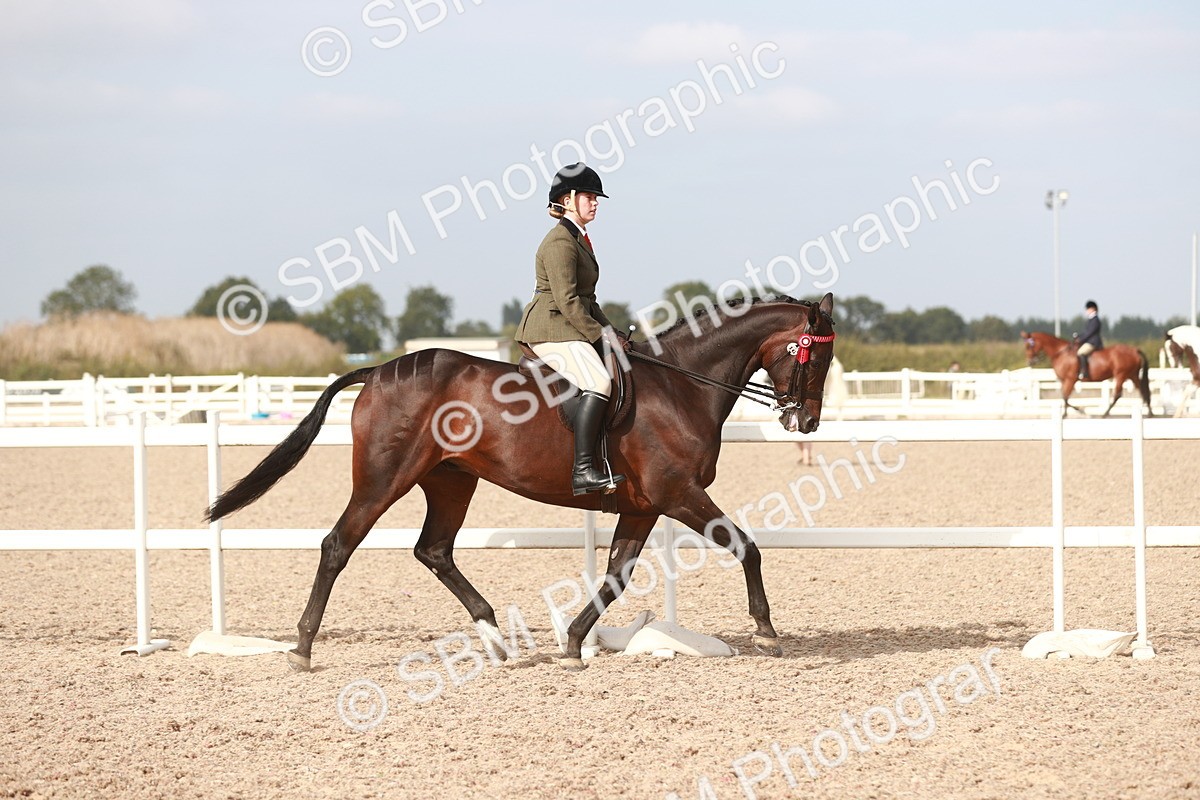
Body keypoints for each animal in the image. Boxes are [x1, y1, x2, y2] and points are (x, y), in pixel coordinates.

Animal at [206, 293, 837, 671]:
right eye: (813, 359)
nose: (805, 422)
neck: (683, 385)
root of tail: (381, 369)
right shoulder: (677, 494)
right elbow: (746, 546)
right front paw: (766, 631)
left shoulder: (642, 506)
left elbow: (615, 577)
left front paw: (573, 643)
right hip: (384, 479)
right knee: (339, 545)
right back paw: (302, 649)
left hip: (451, 481)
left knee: (434, 550)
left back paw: (494, 638)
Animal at [1020, 330, 1152, 417]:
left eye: (1028, 346)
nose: (1030, 362)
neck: (1061, 353)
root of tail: (1134, 350)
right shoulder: (1064, 381)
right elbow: (1064, 396)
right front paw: (1065, 414)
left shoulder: (1070, 379)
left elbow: (1065, 396)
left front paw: (1080, 411)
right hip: (1132, 375)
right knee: (1143, 391)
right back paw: (1150, 413)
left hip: (1121, 375)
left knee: (1117, 395)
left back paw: (1105, 414)